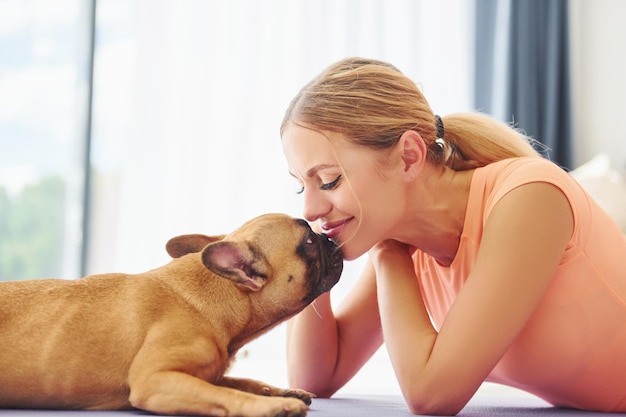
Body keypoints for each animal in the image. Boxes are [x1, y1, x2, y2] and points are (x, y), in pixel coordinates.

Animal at [0, 213, 342, 414]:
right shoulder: (155, 380)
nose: (330, 238)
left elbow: (239, 381)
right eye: (309, 241)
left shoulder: (209, 373)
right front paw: (273, 405)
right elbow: (226, 394)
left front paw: (279, 391)